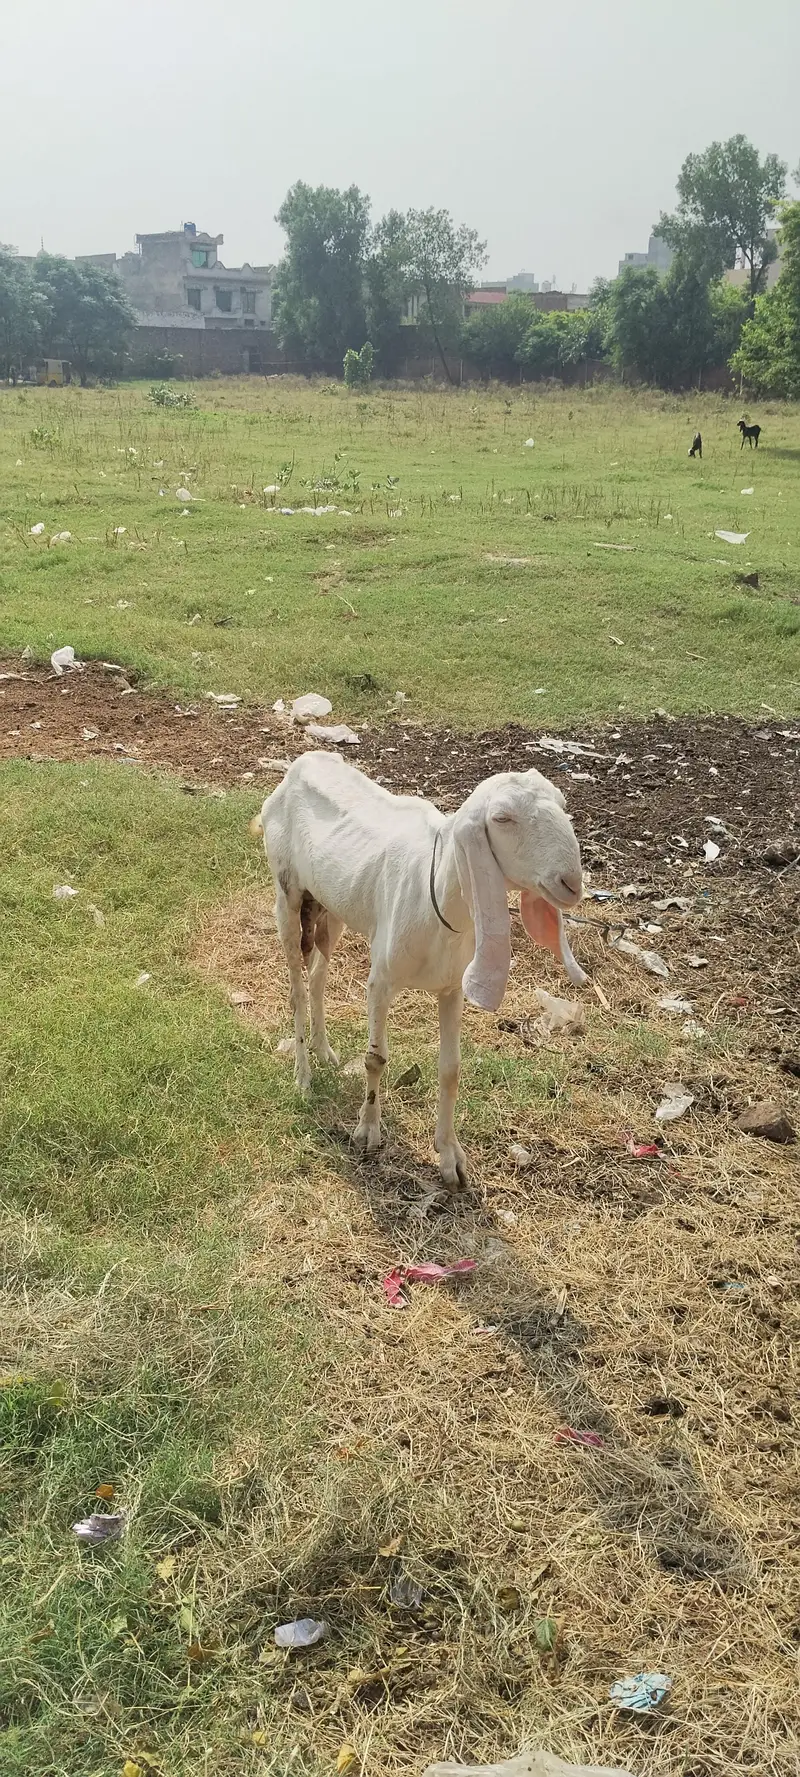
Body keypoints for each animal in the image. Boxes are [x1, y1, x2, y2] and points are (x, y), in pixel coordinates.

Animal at [256, 752, 586, 1188]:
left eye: (564, 804)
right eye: (502, 818)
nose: (571, 883)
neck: (437, 897)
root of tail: (303, 761)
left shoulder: (452, 988)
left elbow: (451, 1069)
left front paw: (450, 1157)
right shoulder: (380, 981)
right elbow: (376, 1059)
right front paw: (368, 1132)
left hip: (332, 906)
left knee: (317, 976)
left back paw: (323, 1049)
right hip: (287, 895)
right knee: (295, 986)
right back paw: (303, 1075)